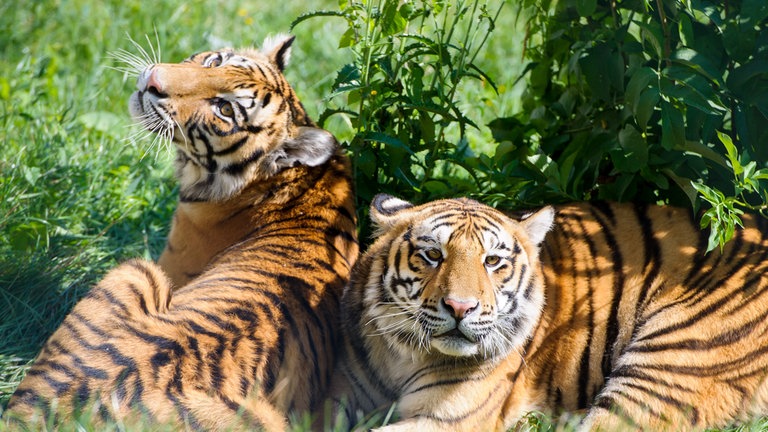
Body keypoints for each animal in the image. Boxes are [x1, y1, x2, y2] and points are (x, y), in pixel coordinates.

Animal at [324, 194, 768, 431]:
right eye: (433, 255)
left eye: (492, 261)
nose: (460, 307)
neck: (403, 355)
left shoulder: (448, 418)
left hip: (666, 366)